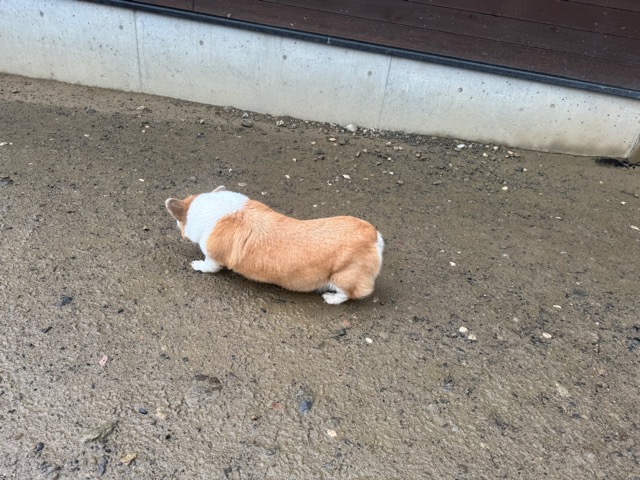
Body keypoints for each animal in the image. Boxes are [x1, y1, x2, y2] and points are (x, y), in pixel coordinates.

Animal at [165, 186, 383, 304]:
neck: (221, 210)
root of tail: (372, 236)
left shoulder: (213, 257)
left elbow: (209, 265)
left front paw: (198, 265)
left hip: (342, 277)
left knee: (349, 293)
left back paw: (332, 298)